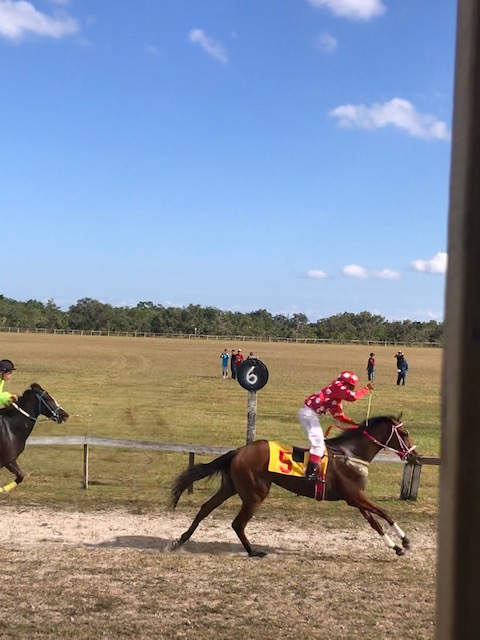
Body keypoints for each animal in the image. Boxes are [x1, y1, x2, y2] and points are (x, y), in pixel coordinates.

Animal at [168, 416, 416, 556]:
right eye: (404, 434)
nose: (415, 456)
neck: (351, 454)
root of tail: (238, 451)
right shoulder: (354, 496)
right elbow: (383, 512)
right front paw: (404, 541)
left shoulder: (355, 498)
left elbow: (375, 522)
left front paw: (397, 546)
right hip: (255, 494)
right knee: (237, 523)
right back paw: (253, 552)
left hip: (231, 487)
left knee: (205, 509)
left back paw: (179, 541)